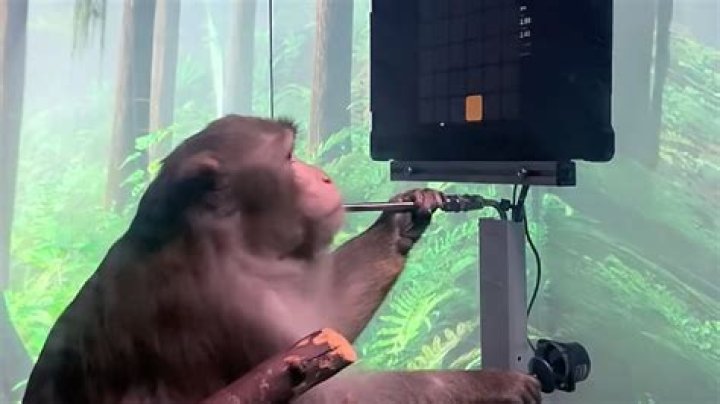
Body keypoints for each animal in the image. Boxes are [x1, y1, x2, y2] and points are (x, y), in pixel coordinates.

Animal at [22, 115, 541, 404]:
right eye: (290, 157)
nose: (324, 177)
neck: (228, 242)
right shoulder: (231, 305)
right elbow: (330, 394)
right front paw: (495, 385)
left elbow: (326, 323)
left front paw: (405, 218)